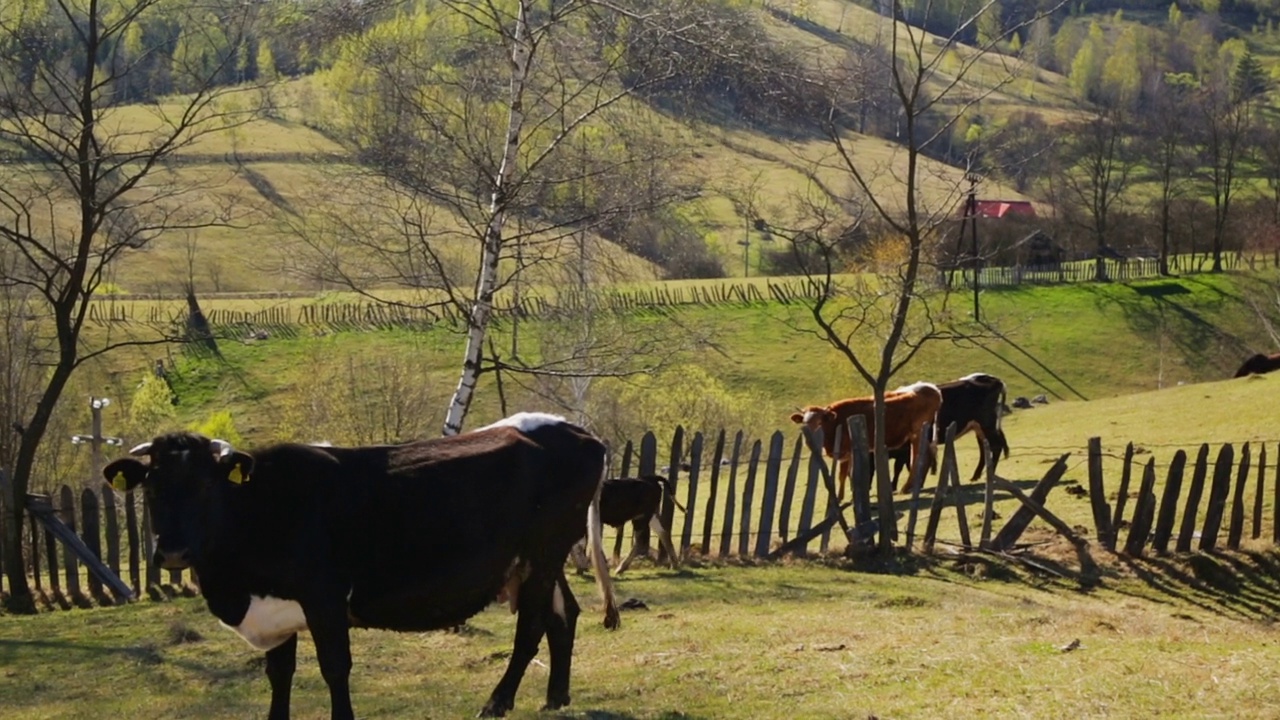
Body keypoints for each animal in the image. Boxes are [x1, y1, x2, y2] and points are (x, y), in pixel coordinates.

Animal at [101, 409, 619, 717]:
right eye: (151, 487)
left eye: (207, 486)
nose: (172, 552)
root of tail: (580, 432)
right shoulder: (276, 608)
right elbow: (279, 674)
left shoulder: (324, 598)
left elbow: (335, 667)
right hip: (540, 562)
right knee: (563, 615)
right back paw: (555, 698)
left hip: (543, 553)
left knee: (531, 626)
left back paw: (497, 701)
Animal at [783, 381, 947, 499]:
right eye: (804, 423)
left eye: (819, 422)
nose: (809, 440)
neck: (836, 422)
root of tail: (932, 388)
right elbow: (844, 475)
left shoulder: (847, 451)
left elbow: (846, 474)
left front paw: (845, 497)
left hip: (917, 432)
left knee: (917, 458)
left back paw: (906, 487)